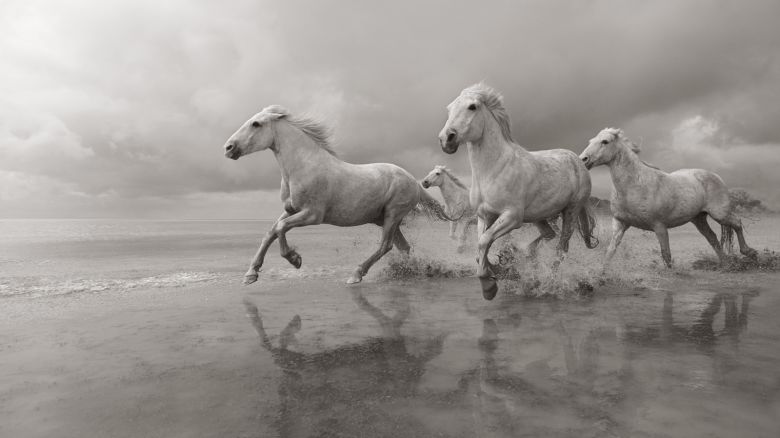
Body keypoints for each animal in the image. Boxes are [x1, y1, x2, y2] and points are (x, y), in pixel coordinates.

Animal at [222, 105, 448, 284]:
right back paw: (413, 271)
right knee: (403, 247)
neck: (302, 168)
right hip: (383, 219)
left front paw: (295, 259)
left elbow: (280, 228)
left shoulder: (313, 215)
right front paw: (251, 274)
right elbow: (270, 232)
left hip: (392, 215)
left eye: (256, 124)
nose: (228, 148)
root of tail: (415, 182)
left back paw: (356, 274)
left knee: (386, 245)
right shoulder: (291, 209)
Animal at [438, 84, 596, 300]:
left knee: (561, 249)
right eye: (449, 108)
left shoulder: (512, 217)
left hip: (571, 211)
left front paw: (489, 286)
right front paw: (503, 269)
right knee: (549, 235)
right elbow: (480, 248)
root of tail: (578, 161)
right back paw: (526, 257)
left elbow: (484, 242)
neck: (493, 169)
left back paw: (549, 283)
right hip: (540, 216)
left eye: (472, 107)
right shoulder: (484, 215)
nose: (446, 139)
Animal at [580, 126, 756, 268]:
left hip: (720, 214)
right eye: (590, 140)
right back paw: (726, 263)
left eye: (605, 141)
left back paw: (749, 252)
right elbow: (609, 253)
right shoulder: (620, 224)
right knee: (712, 238)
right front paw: (600, 276)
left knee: (737, 223)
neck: (634, 186)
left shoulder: (659, 226)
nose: (583, 159)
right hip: (699, 219)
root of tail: (715, 176)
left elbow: (666, 255)